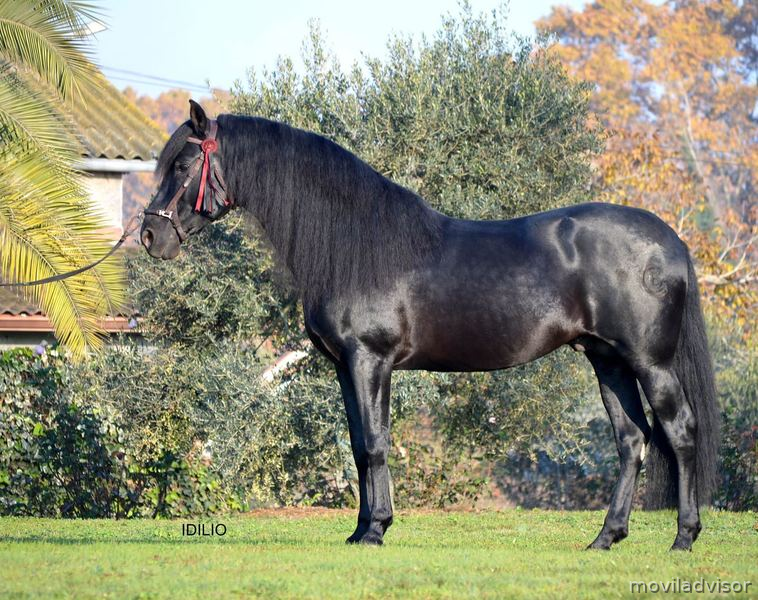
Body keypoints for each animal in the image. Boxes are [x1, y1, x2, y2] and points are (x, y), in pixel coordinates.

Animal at [141, 100, 719, 551]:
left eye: (184, 163)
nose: (149, 237)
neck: (355, 245)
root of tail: (670, 240)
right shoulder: (348, 368)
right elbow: (359, 443)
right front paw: (361, 530)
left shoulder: (369, 360)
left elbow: (374, 444)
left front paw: (375, 531)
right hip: (607, 360)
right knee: (632, 438)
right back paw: (606, 537)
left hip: (650, 362)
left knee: (680, 431)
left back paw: (683, 537)